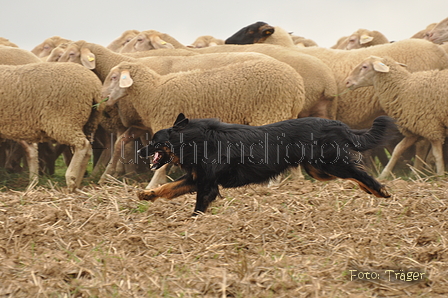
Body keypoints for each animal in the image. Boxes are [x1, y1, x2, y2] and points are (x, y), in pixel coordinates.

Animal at [0, 62, 105, 191]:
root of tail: (94, 86)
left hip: (65, 120)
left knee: (82, 144)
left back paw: (71, 179)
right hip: (89, 122)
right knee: (88, 149)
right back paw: (77, 182)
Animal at [101, 59, 304, 187]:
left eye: (114, 77)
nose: (102, 99)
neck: (153, 91)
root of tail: (297, 83)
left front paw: (151, 186)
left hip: (270, 112)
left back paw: (273, 183)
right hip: (286, 113)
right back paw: (298, 181)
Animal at [137, 113, 392, 214]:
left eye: (155, 142)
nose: (139, 151)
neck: (193, 139)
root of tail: (337, 124)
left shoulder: (207, 185)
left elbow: (198, 207)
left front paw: (193, 225)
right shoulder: (196, 178)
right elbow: (167, 188)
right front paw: (147, 194)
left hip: (327, 164)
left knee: (359, 173)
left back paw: (380, 191)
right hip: (318, 169)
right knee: (354, 174)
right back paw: (371, 191)